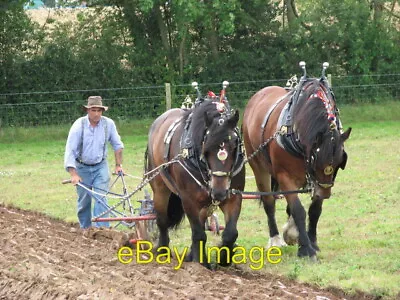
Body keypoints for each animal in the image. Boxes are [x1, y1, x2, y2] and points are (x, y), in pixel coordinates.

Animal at [145, 84, 245, 268]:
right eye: (206, 148)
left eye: (235, 146)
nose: (219, 192)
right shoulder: (188, 199)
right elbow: (198, 234)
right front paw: (200, 265)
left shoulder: (234, 196)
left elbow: (230, 233)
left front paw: (224, 258)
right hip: (160, 188)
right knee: (162, 220)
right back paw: (163, 251)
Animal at [241, 62, 350, 260]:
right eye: (316, 161)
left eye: (339, 163)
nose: (325, 194)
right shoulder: (285, 176)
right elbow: (299, 210)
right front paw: (306, 249)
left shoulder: (317, 181)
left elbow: (314, 210)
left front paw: (311, 241)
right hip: (259, 167)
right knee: (269, 203)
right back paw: (276, 239)